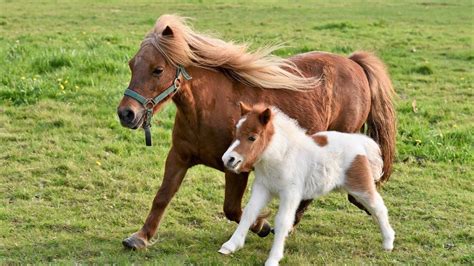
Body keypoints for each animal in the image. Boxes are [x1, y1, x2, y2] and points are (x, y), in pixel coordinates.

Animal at [220, 103, 394, 264]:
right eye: (235, 133)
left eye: (252, 137)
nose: (228, 159)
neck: (281, 156)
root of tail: (358, 141)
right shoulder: (263, 188)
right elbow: (249, 213)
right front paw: (230, 245)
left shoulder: (290, 194)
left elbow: (283, 221)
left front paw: (273, 259)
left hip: (360, 187)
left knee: (378, 207)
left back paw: (388, 242)